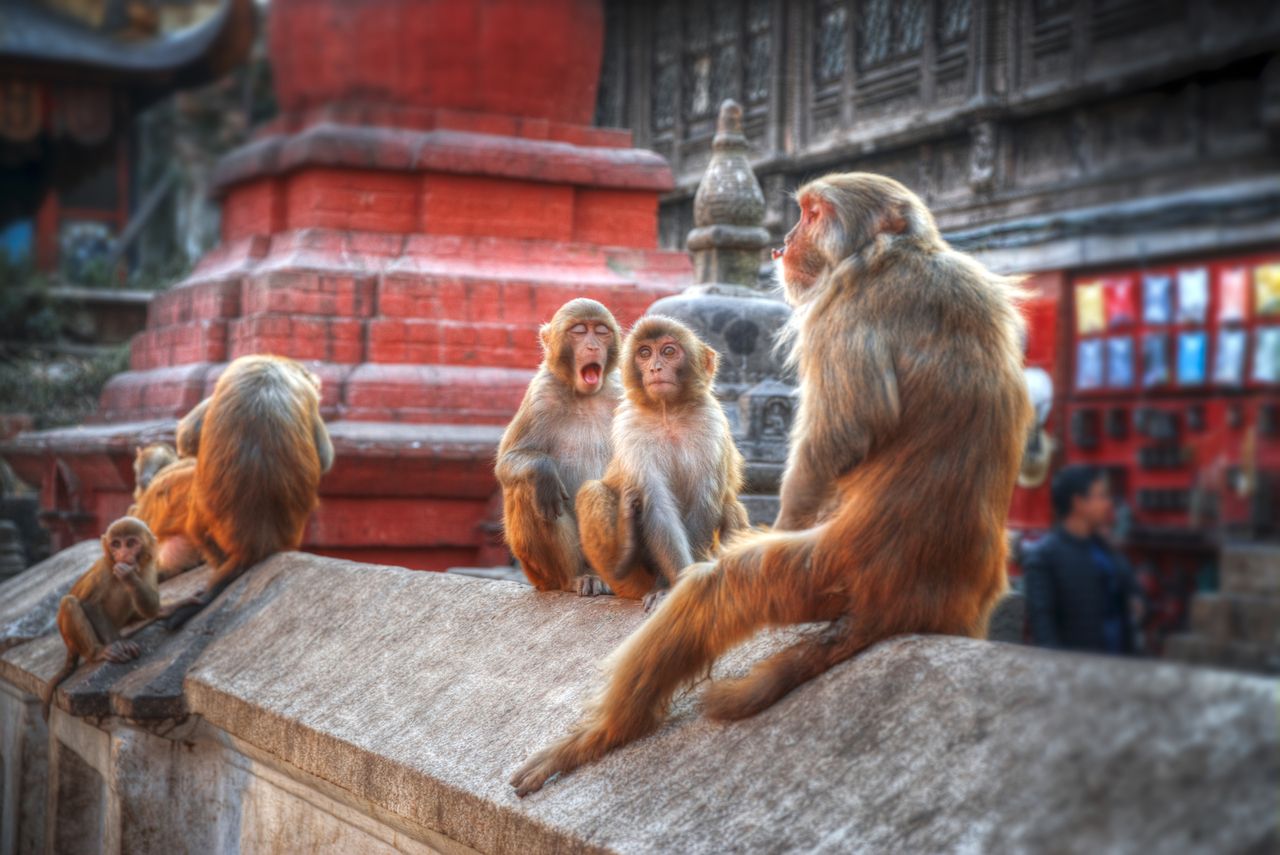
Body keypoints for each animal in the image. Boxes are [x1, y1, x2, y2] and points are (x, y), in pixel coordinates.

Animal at [41, 517, 160, 716]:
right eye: (116, 544)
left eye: (131, 543)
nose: (122, 554)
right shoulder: (104, 568)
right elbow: (90, 604)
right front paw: (118, 644)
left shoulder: (149, 565)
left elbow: (152, 608)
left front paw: (129, 575)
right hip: (72, 639)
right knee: (70, 602)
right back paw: (97, 651)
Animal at [494, 299, 624, 593]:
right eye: (579, 331)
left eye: (601, 331)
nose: (593, 347)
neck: (585, 395)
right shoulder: (540, 396)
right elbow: (508, 462)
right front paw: (542, 471)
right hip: (536, 568)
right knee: (528, 488)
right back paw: (577, 577)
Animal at [576, 317, 747, 611]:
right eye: (644, 353)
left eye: (668, 351)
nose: (655, 367)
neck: (669, 412)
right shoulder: (631, 428)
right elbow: (657, 505)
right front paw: (671, 587)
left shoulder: (711, 424)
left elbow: (704, 501)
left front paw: (683, 587)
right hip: (631, 583)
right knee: (593, 491)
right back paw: (625, 553)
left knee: (731, 506)